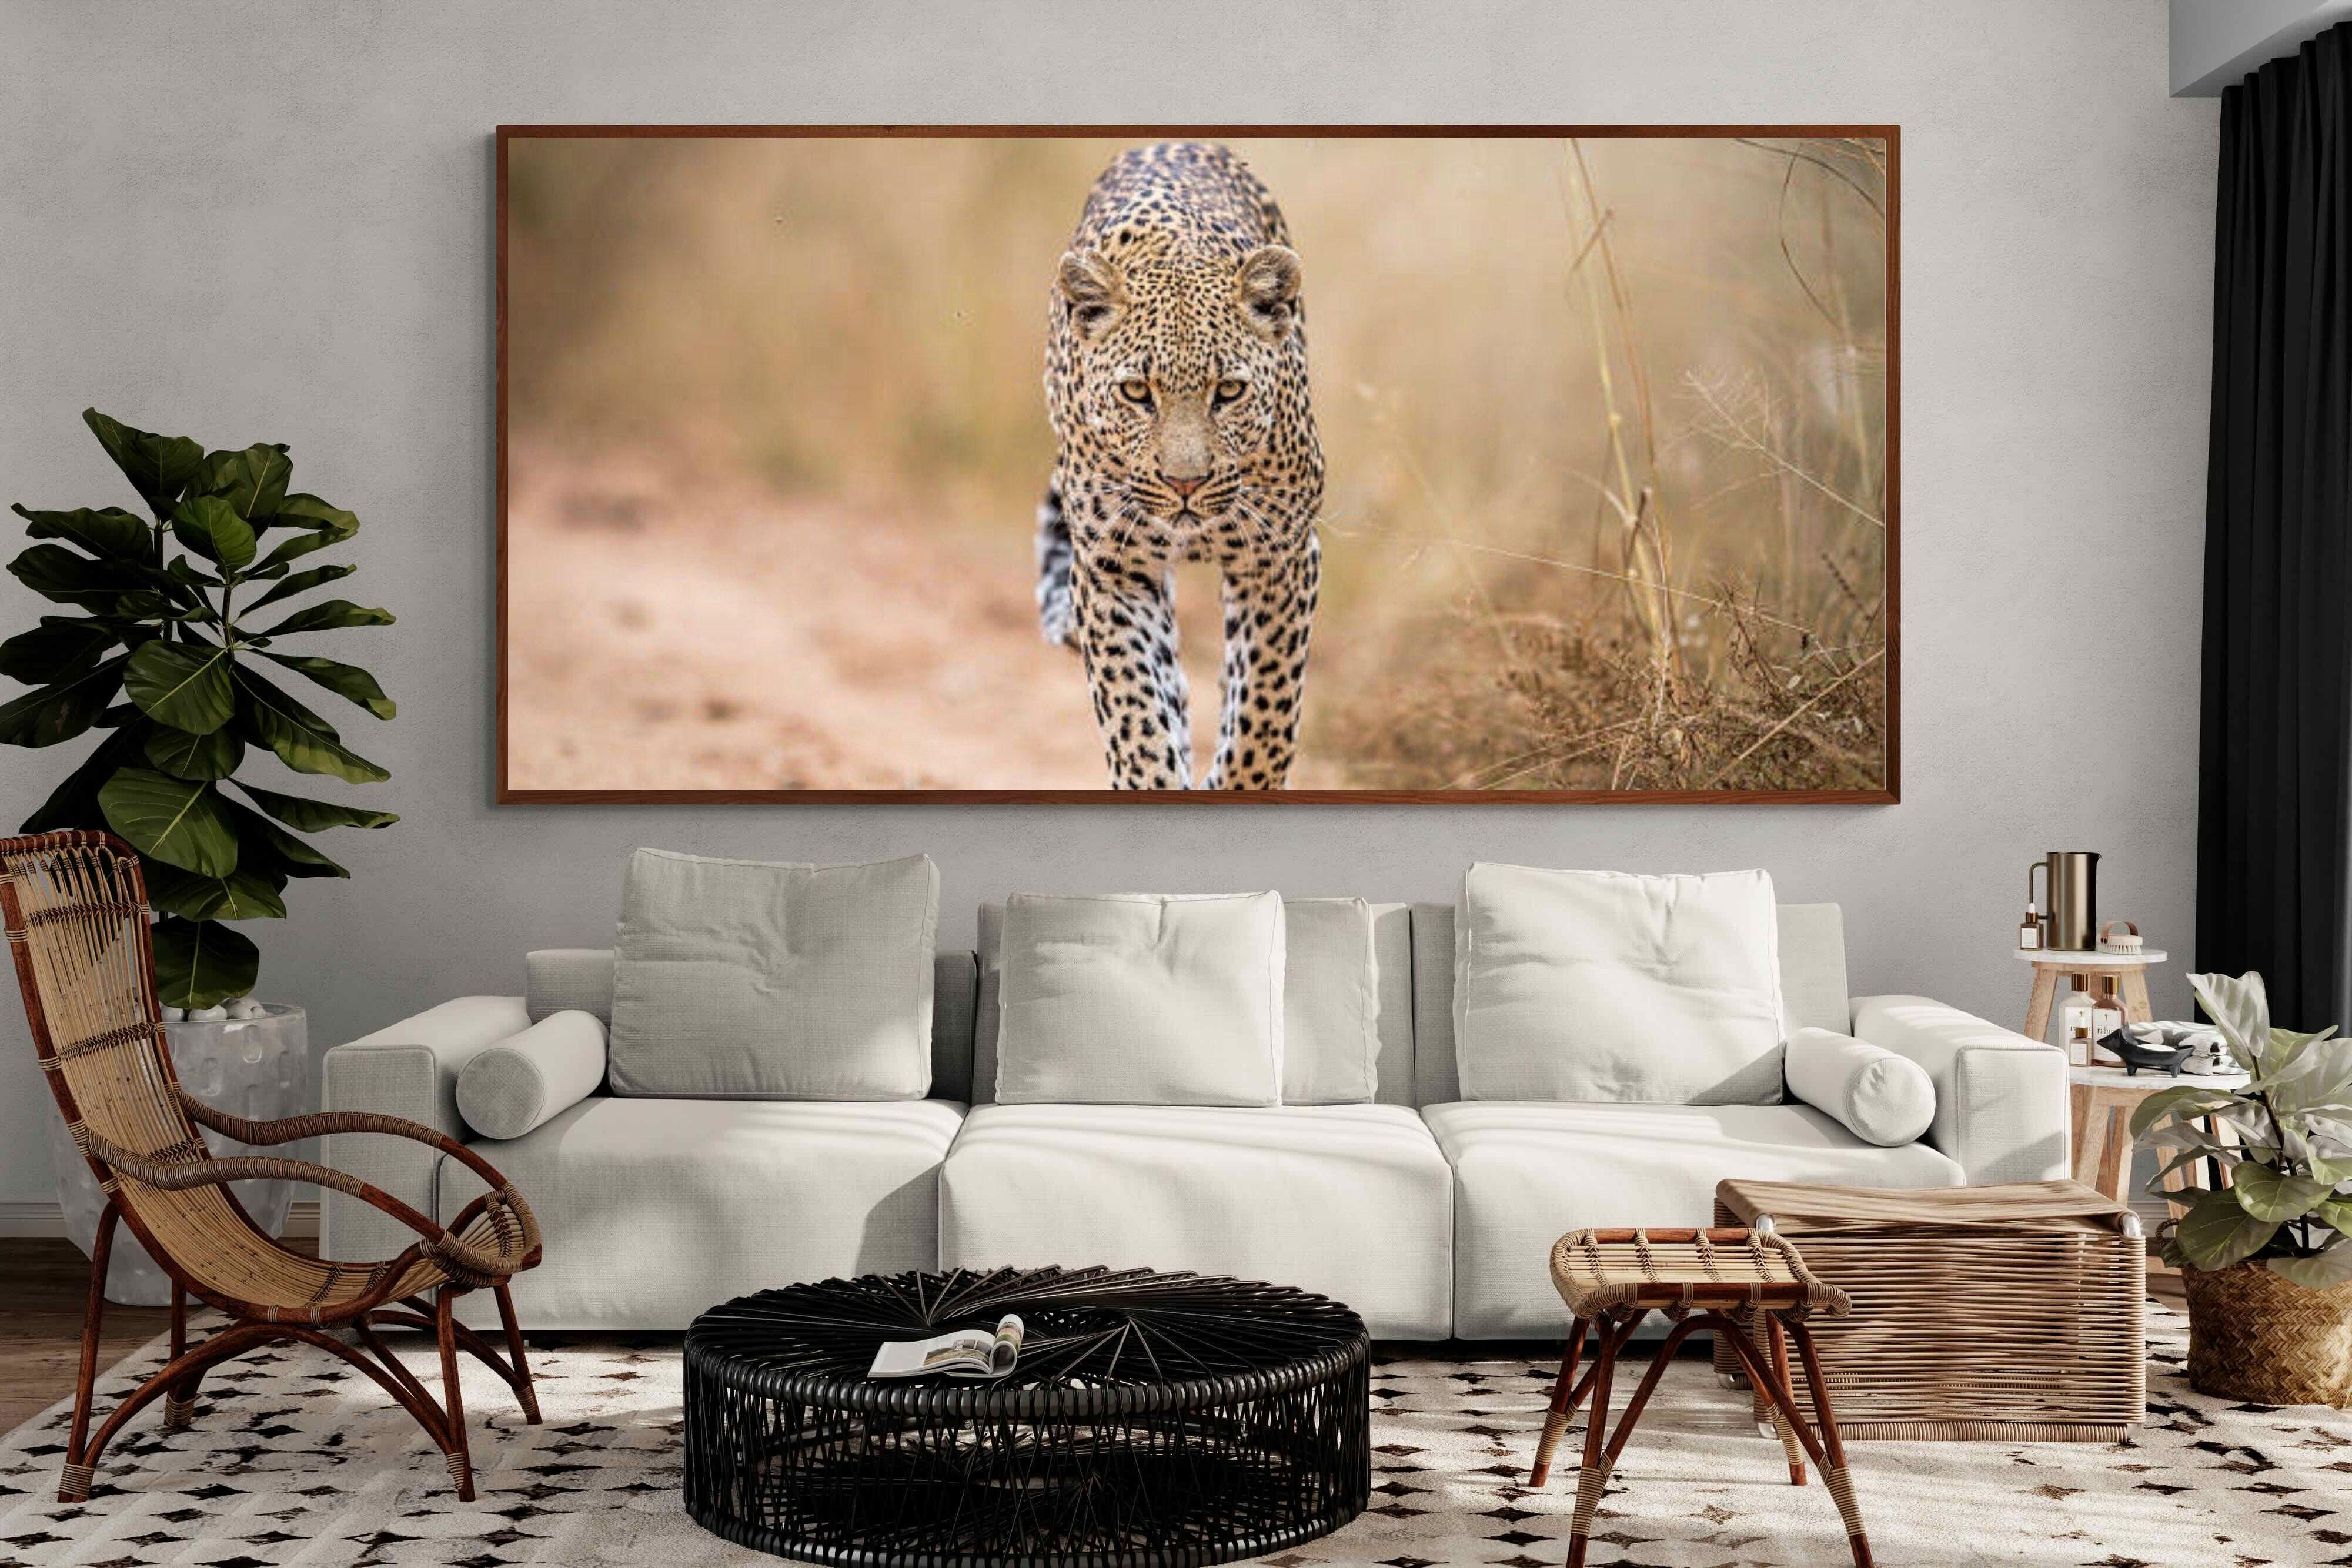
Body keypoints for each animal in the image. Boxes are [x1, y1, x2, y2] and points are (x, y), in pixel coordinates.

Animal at [1037, 141, 1324, 790]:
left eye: (1229, 391)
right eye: (1137, 392)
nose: (1184, 483)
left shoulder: (1280, 559)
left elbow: (1264, 713)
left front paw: (1237, 780)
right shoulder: (1112, 568)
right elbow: (1136, 711)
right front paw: (1156, 775)